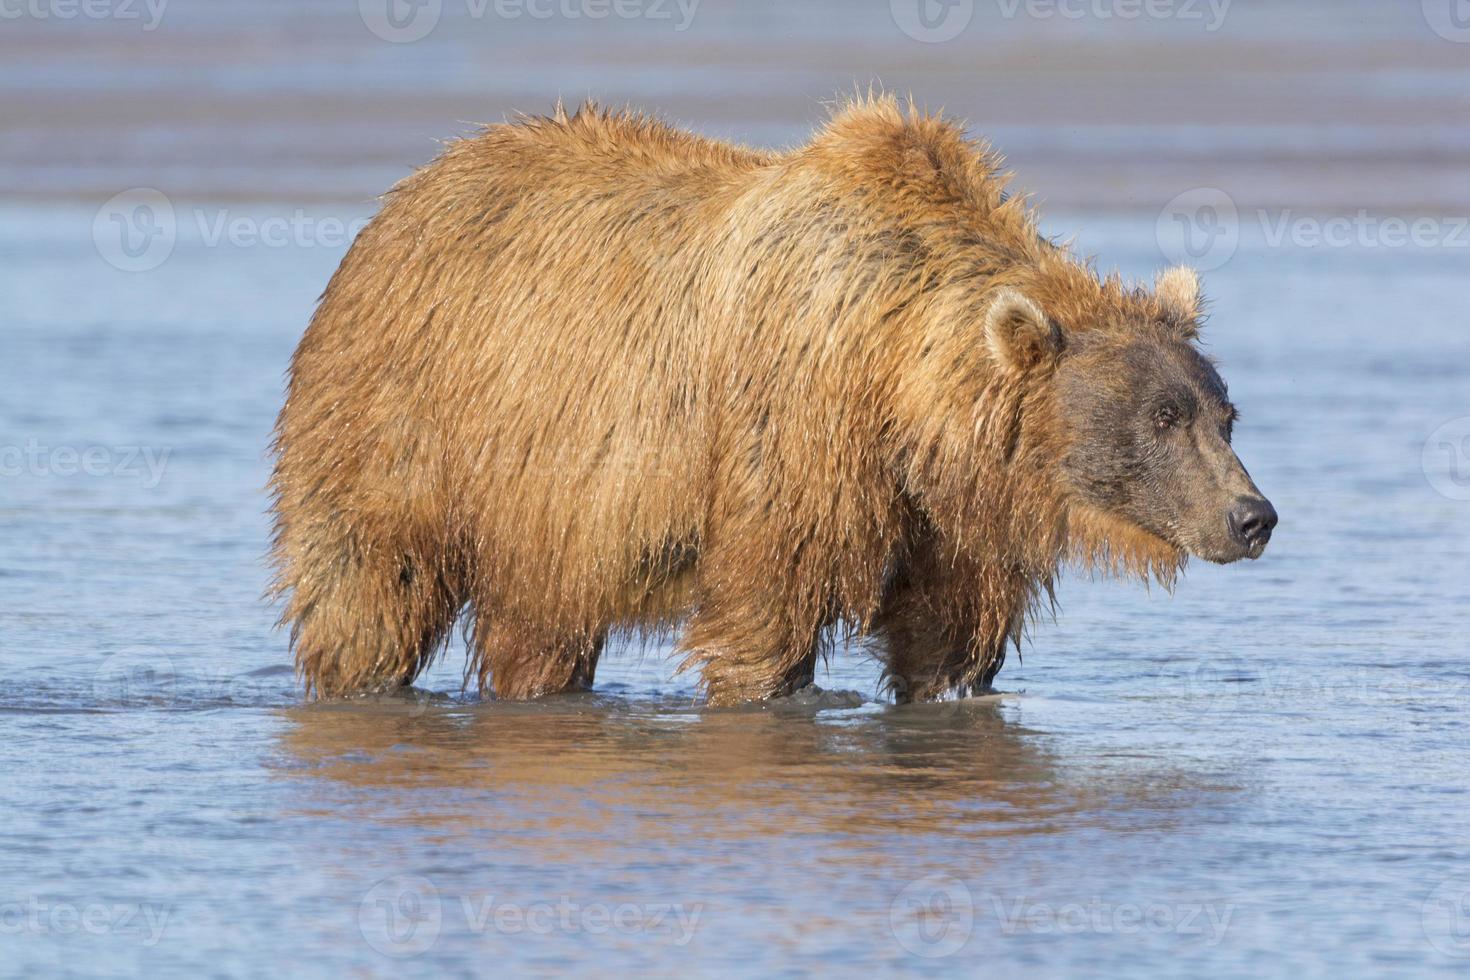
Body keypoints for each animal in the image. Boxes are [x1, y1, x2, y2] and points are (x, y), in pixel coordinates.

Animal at [273, 95, 1275, 705]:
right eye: (1162, 418)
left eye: (1223, 415)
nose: (1252, 515)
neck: (894, 377)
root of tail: (403, 196)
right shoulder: (789, 430)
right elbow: (765, 612)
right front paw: (778, 696)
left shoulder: (953, 509)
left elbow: (950, 637)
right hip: (400, 420)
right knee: (370, 593)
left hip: (543, 514)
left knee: (539, 632)